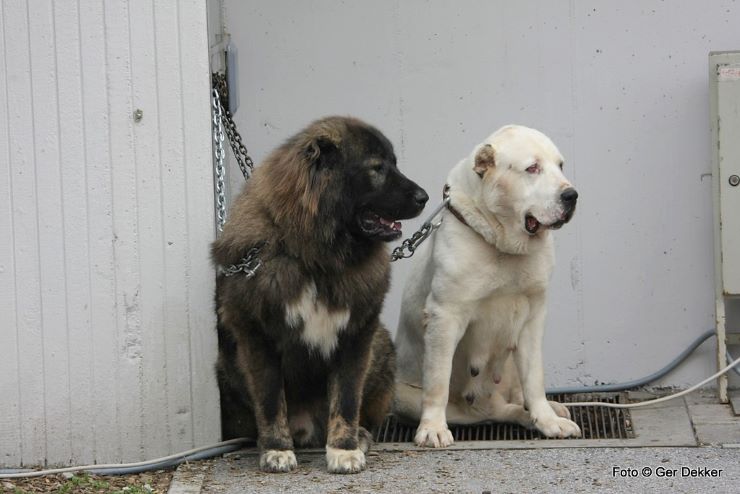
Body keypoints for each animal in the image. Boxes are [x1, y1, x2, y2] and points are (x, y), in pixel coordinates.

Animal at [211, 116, 424, 474]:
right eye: (376, 168)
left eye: (393, 163)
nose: (424, 197)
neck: (314, 257)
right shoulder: (257, 336)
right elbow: (270, 400)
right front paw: (277, 450)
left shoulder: (357, 334)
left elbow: (347, 399)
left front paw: (344, 449)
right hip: (227, 366)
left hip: (381, 347)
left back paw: (361, 435)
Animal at [396, 124, 580, 448]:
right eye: (532, 168)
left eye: (560, 166)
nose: (571, 195)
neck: (503, 245)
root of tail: (485, 403)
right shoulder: (445, 316)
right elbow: (438, 381)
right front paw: (432, 428)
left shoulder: (533, 317)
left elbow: (535, 378)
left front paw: (546, 421)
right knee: (487, 411)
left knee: (514, 399)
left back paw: (545, 412)